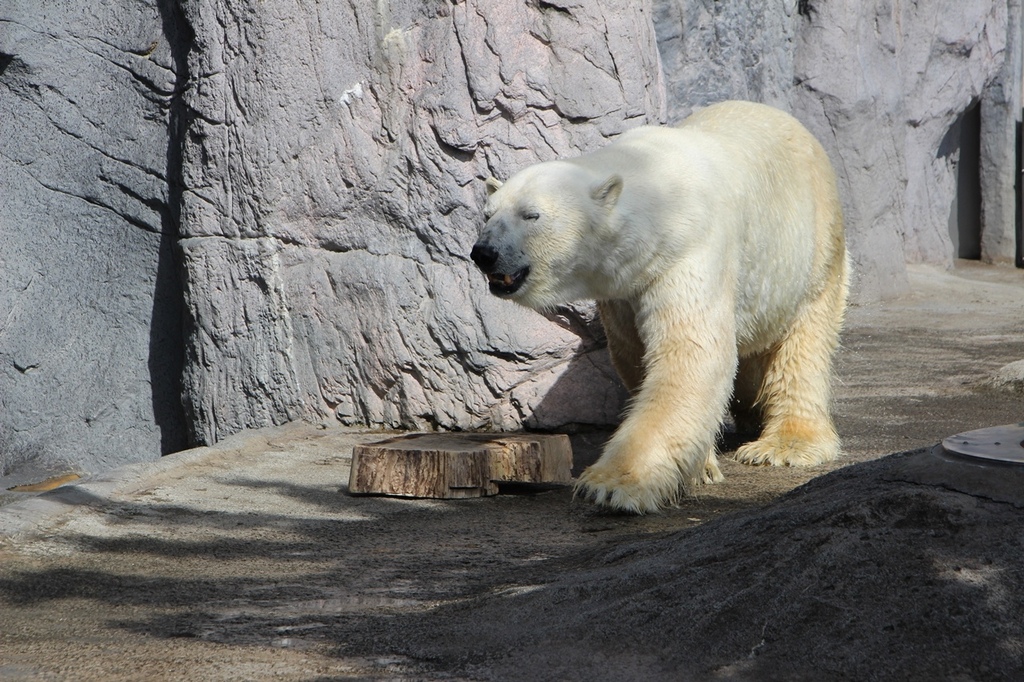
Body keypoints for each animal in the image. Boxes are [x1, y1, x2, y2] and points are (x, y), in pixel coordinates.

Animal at [471, 100, 847, 509]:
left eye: (531, 215)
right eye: (488, 214)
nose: (483, 253)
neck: (657, 189)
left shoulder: (688, 252)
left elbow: (691, 353)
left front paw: (611, 484)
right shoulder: (624, 289)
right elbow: (635, 353)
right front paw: (700, 466)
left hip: (813, 247)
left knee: (802, 343)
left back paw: (784, 445)